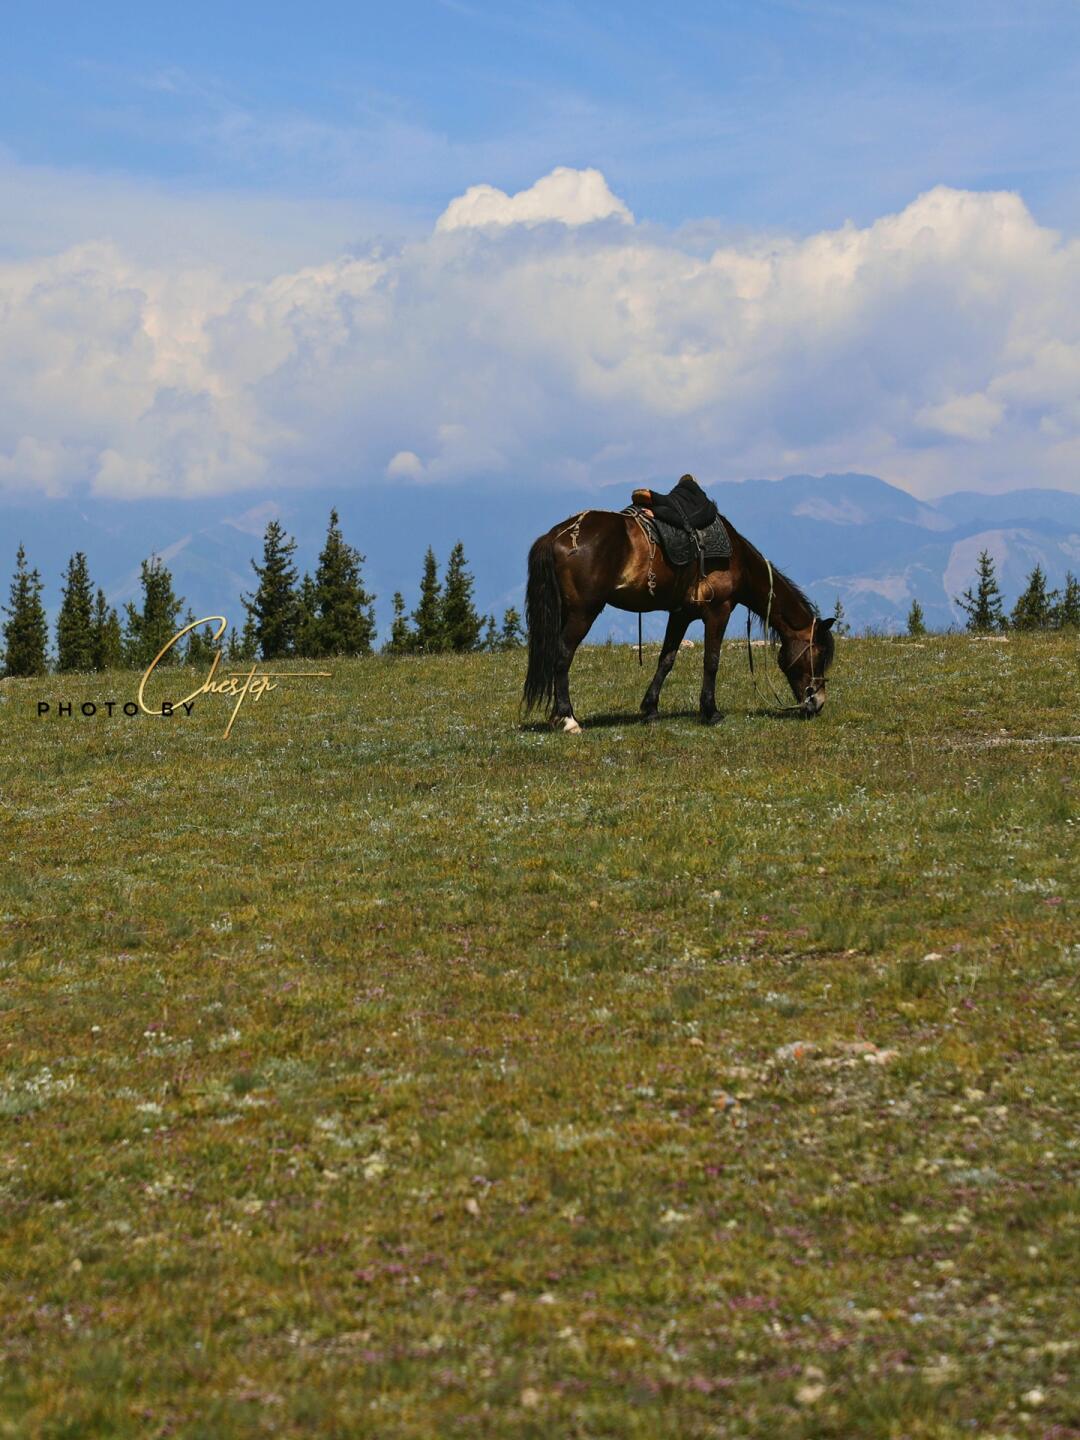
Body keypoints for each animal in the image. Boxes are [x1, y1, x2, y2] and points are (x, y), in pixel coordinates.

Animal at [524, 509, 835, 731]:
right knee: (562, 656)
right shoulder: (719, 611)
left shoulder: (681, 614)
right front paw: (711, 712)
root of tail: (555, 536)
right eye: (819, 655)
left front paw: (650, 709)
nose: (818, 703)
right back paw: (567, 719)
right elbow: (711, 661)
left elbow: (667, 659)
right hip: (583, 613)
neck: (737, 559)